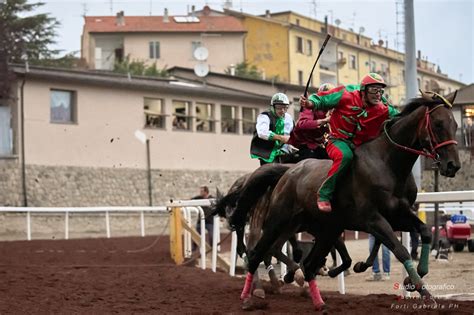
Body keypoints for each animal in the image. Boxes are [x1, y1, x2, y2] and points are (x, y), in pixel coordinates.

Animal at [231, 91, 462, 312]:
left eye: (455, 125)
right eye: (438, 124)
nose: (453, 165)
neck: (387, 164)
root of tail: (288, 171)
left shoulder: (398, 215)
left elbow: (424, 232)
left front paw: (413, 278)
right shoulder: (372, 219)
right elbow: (400, 250)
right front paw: (426, 294)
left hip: (324, 229)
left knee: (307, 263)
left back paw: (317, 301)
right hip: (277, 222)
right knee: (256, 254)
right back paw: (249, 297)